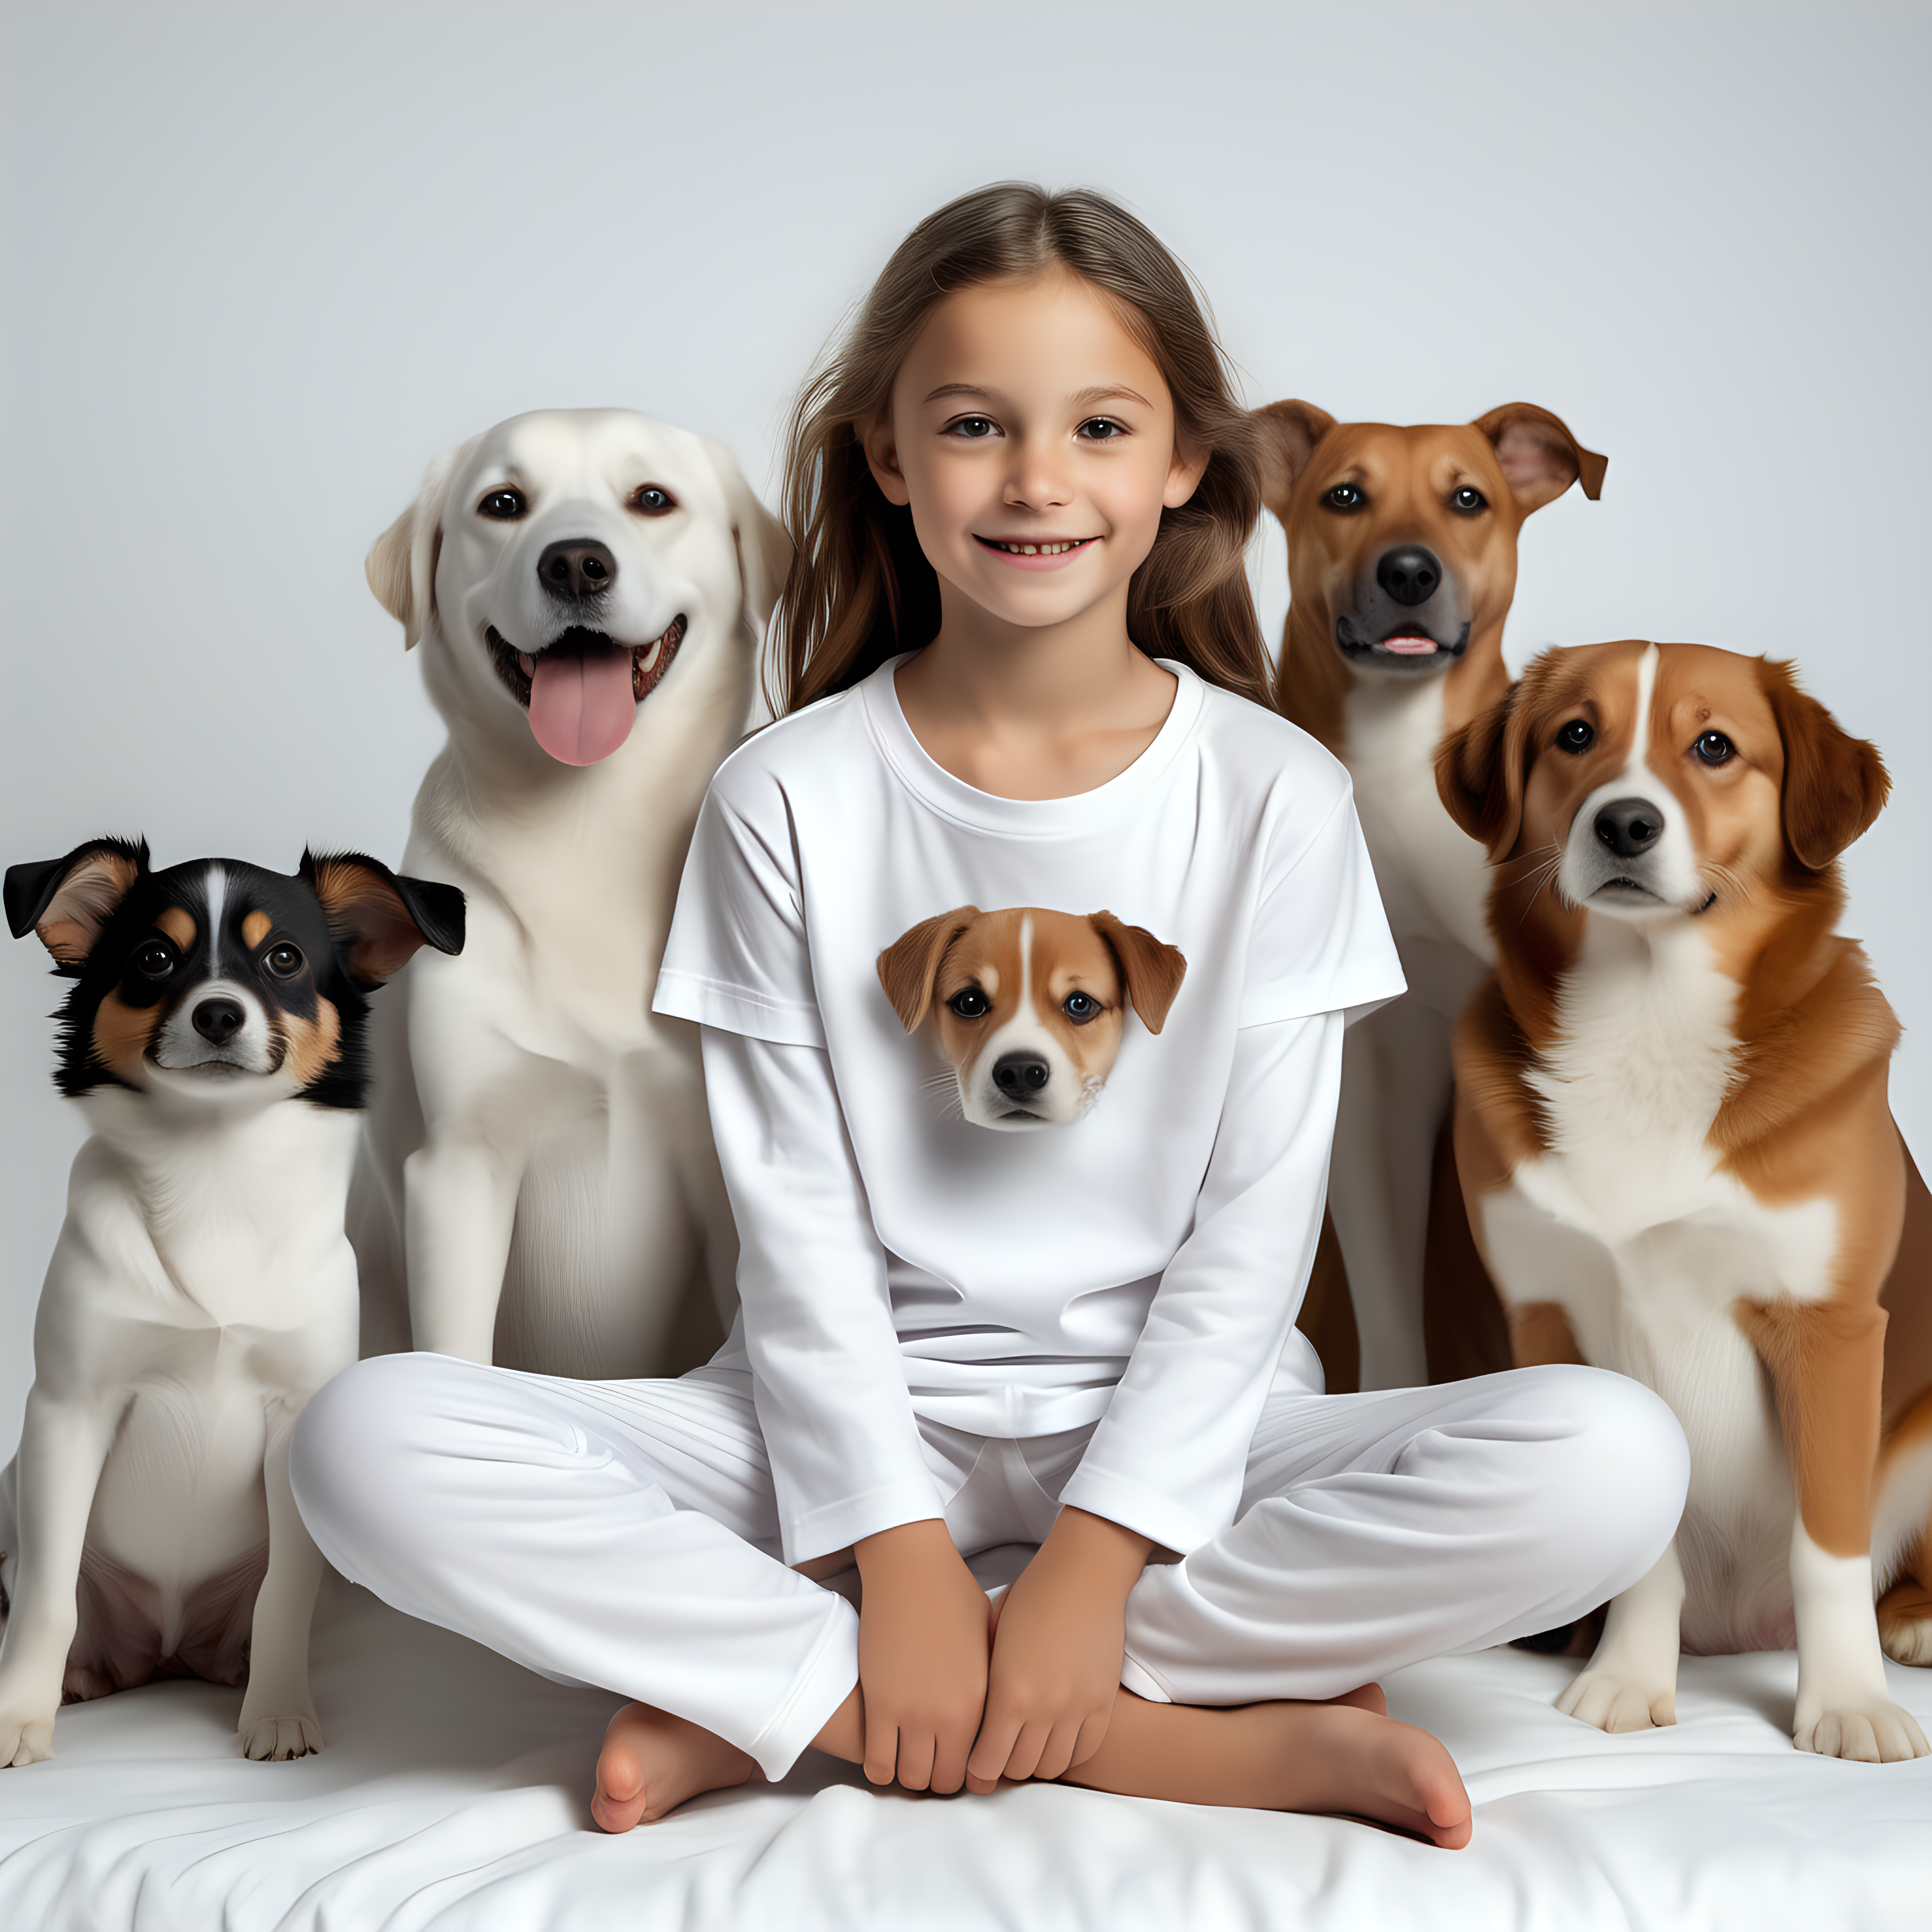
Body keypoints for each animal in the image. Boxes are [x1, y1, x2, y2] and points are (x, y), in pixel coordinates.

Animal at [0, 834, 459, 1769]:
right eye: (154, 959)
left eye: (283, 959)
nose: (218, 1014)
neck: (212, 1173)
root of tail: (166, 1652)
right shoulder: (68, 1411)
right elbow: (47, 1595)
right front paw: (18, 1717)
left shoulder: (293, 1418)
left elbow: (284, 1592)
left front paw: (279, 1714)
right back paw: (79, 1678)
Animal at [1244, 396, 1607, 1391]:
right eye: (1345, 495)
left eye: (1468, 498)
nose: (1409, 570)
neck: (1401, 758)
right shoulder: (1377, 1070)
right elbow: (1385, 1290)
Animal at [1445, 641, 1924, 1762]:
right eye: (1575, 733)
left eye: (1713, 745)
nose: (1625, 821)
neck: (1645, 1019)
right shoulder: (1556, 1318)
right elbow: (1643, 1540)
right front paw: (1627, 1677)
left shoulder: (1830, 1325)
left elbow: (1827, 1547)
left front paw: (1845, 1702)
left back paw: (1914, 1624)